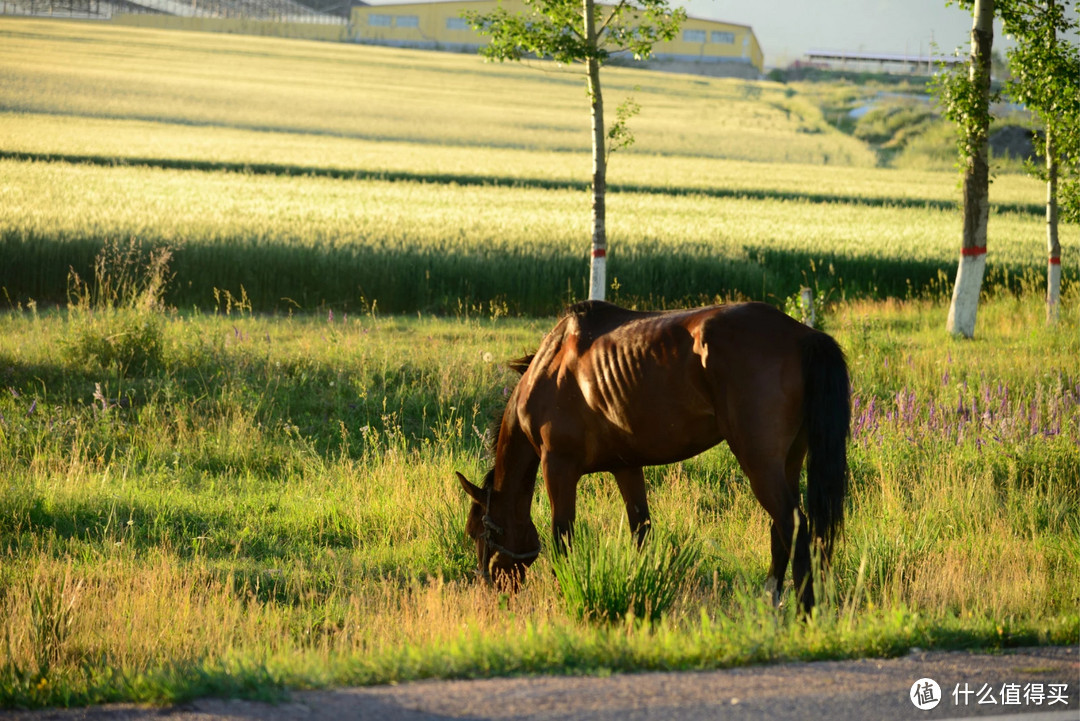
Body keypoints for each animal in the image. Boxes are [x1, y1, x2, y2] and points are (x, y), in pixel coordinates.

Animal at [455, 300, 851, 613]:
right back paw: (771, 602)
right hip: (788, 461)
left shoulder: (558, 468)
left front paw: (566, 592)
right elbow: (641, 531)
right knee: (781, 532)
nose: (491, 588)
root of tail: (803, 335)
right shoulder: (626, 467)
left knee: (793, 526)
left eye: (476, 532)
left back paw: (804, 610)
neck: (548, 367)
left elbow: (563, 538)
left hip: (759, 462)